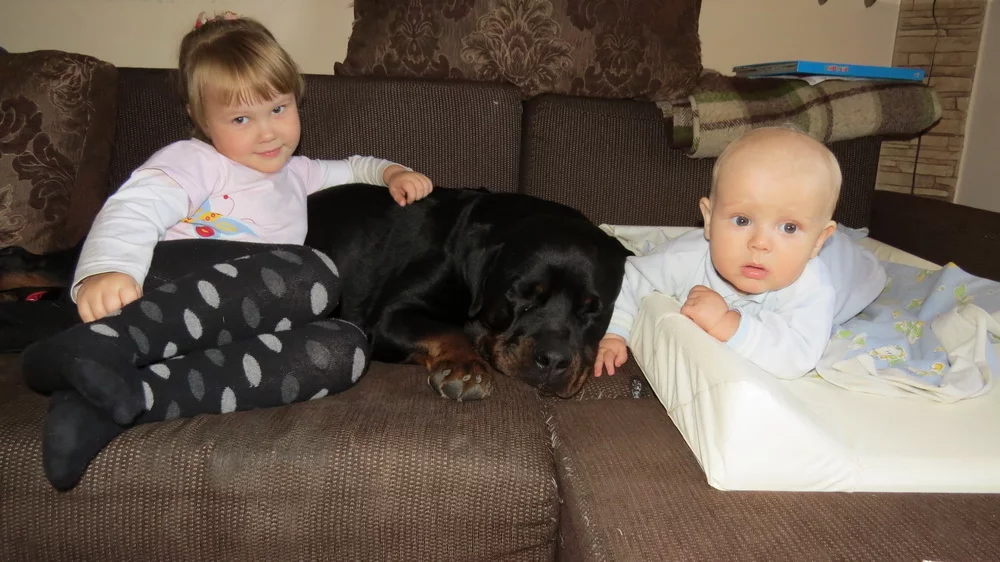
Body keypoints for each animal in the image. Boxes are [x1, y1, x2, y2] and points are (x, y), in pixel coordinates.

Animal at [305, 185, 630, 400]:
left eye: (592, 310)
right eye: (522, 296)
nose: (552, 360)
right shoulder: (389, 315)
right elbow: (448, 330)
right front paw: (465, 366)